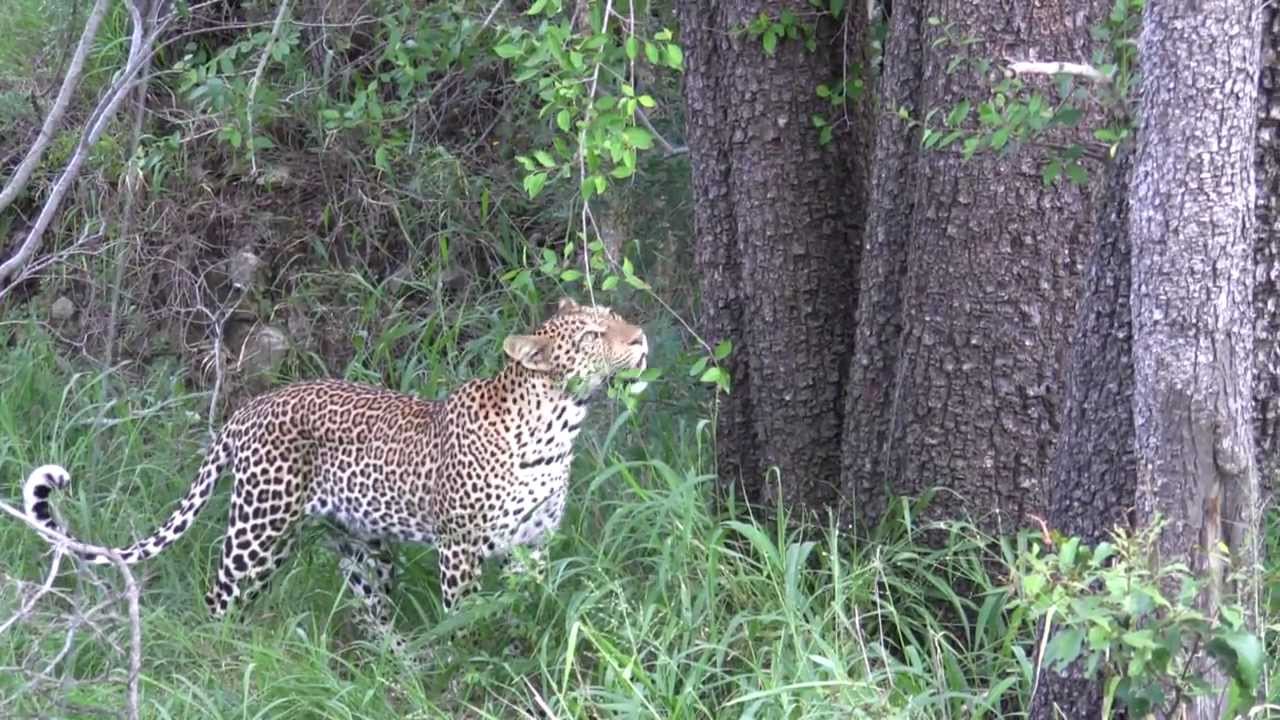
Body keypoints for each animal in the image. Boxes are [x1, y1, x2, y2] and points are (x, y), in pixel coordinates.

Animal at [19, 297, 647, 640]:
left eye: (615, 316)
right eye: (594, 335)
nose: (640, 338)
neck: (559, 427)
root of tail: (247, 409)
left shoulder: (534, 545)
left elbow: (533, 606)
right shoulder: (461, 548)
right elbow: (468, 617)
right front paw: (472, 650)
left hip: (361, 545)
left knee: (375, 619)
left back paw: (404, 666)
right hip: (259, 528)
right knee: (220, 594)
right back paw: (219, 650)